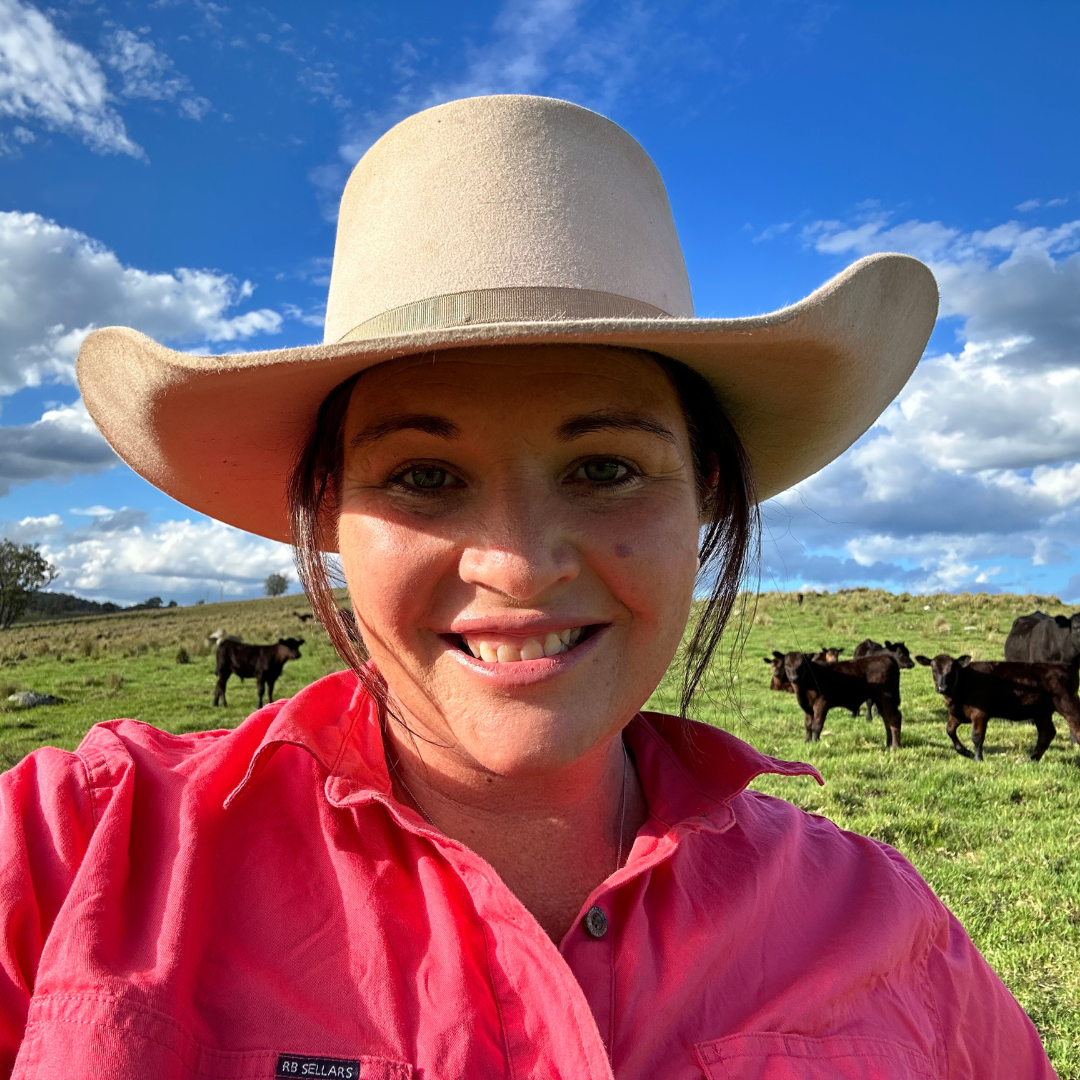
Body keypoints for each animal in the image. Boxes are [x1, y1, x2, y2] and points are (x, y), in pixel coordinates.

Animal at [915, 653, 1080, 761]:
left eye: (952, 670)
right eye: (933, 670)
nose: (942, 688)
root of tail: (1065, 667)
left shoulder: (980, 713)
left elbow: (977, 736)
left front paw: (978, 759)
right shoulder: (958, 714)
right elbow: (949, 730)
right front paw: (967, 753)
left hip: (1067, 703)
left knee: (1075, 727)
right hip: (1042, 712)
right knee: (1047, 733)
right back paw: (1032, 759)